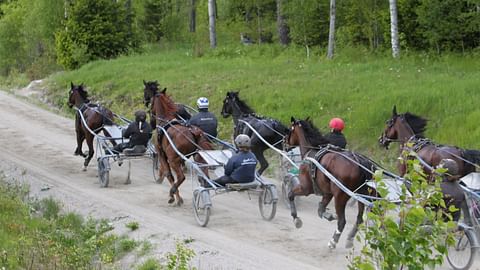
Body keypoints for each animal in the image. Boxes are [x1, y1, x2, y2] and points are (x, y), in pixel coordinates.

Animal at [284, 117, 376, 249]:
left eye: (289, 130)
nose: (284, 142)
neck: (311, 152)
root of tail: (360, 162)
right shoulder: (327, 193)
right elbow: (320, 210)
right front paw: (330, 215)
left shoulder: (306, 188)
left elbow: (290, 194)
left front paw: (296, 219)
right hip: (361, 195)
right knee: (359, 219)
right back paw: (349, 238)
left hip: (341, 196)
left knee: (342, 221)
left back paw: (333, 241)